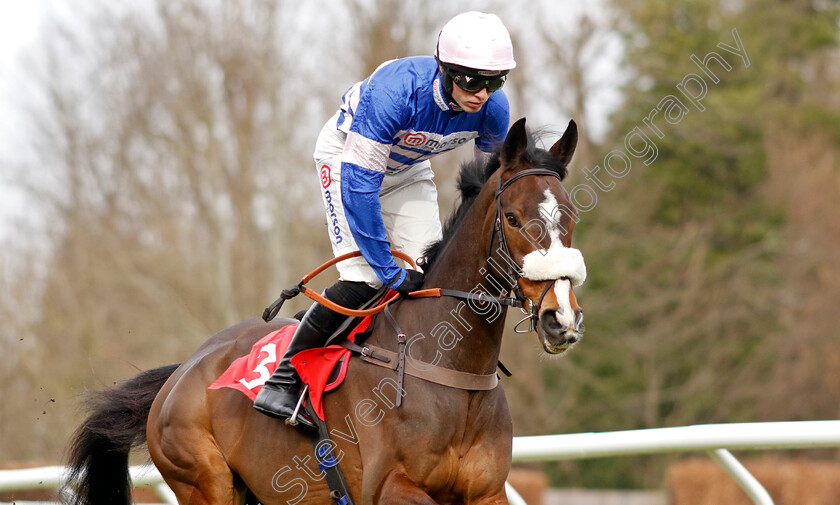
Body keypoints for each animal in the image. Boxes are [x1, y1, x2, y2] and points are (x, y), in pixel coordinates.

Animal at [65, 115, 584, 504]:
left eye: (571, 216)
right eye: (512, 218)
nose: (561, 317)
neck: (450, 371)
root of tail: (180, 373)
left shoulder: (487, 491)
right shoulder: (388, 487)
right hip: (202, 479)